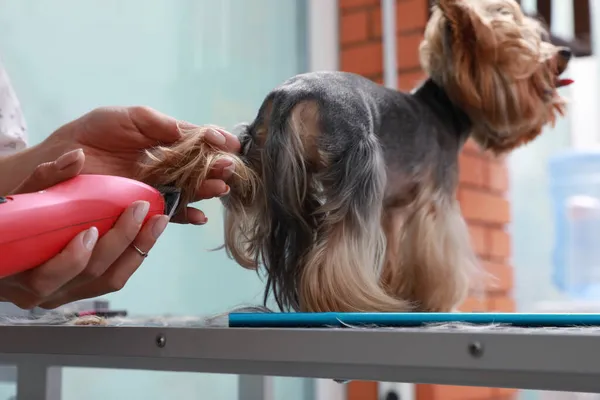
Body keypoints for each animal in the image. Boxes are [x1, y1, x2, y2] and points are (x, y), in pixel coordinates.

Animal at [138, 0, 576, 314]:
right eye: (529, 56)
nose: (565, 53)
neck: (446, 108)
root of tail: (290, 96)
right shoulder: (435, 200)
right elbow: (436, 254)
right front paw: (435, 300)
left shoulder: (393, 210)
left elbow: (394, 253)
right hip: (360, 161)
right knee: (338, 249)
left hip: (260, 155)